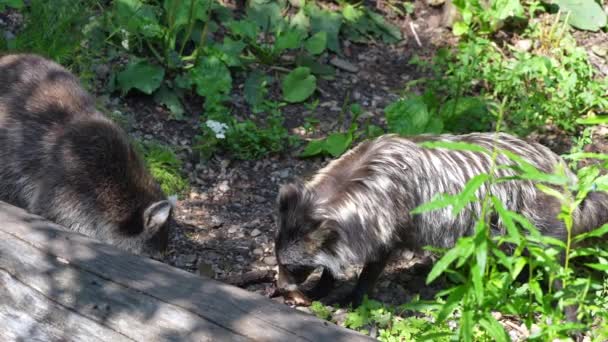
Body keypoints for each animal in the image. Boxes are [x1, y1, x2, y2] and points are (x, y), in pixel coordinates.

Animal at [274, 133, 608, 308]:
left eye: (292, 266)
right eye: (279, 262)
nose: (280, 287)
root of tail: (566, 175)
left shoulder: (392, 219)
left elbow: (374, 260)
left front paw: (356, 295)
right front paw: (323, 285)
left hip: (538, 219)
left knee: (553, 262)